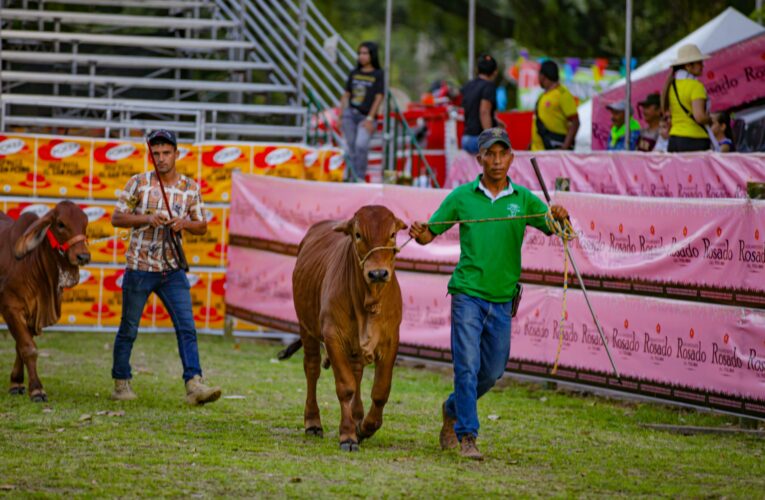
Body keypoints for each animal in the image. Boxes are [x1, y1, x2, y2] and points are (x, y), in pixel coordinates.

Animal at [0, 201, 91, 400]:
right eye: (61, 224)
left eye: (85, 224)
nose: (83, 256)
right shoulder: (11, 307)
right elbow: (28, 348)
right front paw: (36, 389)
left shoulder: (33, 313)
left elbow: (20, 346)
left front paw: (16, 383)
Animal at [280, 205, 408, 452]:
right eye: (358, 235)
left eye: (392, 234)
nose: (378, 273)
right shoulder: (333, 337)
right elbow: (345, 387)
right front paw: (348, 435)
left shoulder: (391, 341)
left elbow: (380, 391)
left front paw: (365, 427)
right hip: (306, 327)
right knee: (312, 369)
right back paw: (313, 422)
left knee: (357, 371)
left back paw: (358, 417)